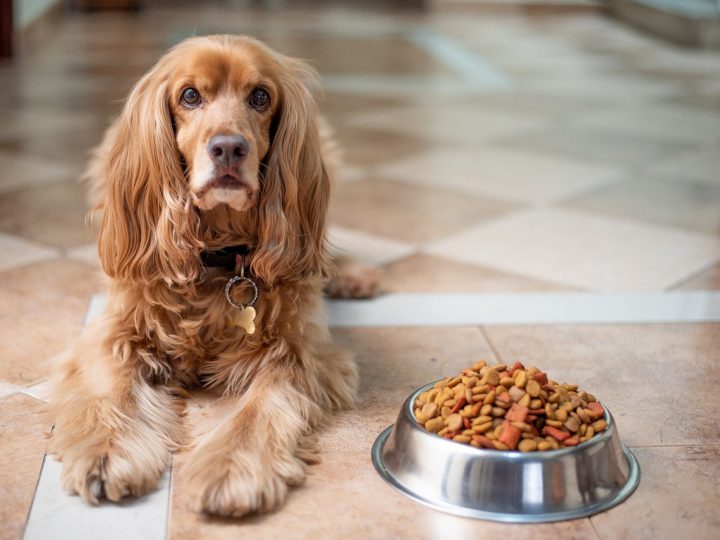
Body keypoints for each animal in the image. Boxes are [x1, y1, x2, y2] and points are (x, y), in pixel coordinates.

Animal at [48, 35, 372, 516]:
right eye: (189, 96)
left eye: (260, 97)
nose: (229, 149)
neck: (218, 257)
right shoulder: (115, 333)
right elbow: (113, 390)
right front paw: (107, 453)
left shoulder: (298, 352)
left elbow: (259, 410)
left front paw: (232, 469)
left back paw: (351, 273)